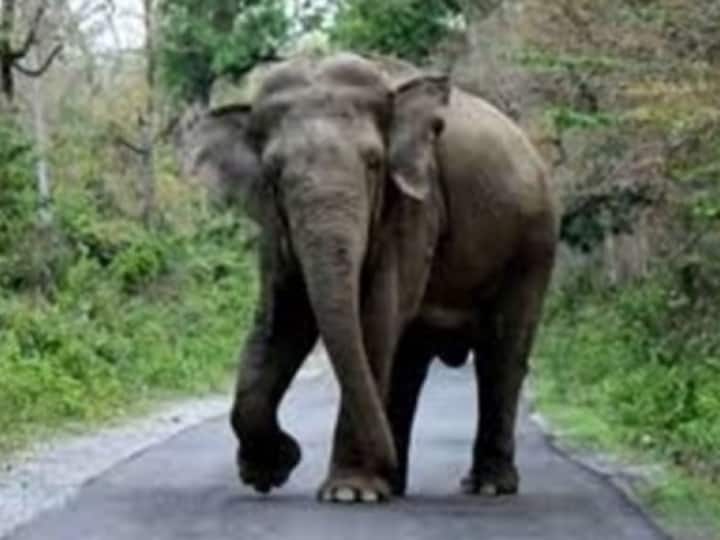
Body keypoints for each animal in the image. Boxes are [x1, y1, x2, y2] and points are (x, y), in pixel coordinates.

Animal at [182, 53, 558, 503]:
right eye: (273, 173)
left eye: (374, 163)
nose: (292, 452)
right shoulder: (275, 225)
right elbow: (283, 321)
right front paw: (270, 471)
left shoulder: (416, 205)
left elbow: (375, 317)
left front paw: (347, 494)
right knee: (409, 360)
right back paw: (394, 483)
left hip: (533, 245)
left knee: (502, 352)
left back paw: (486, 486)